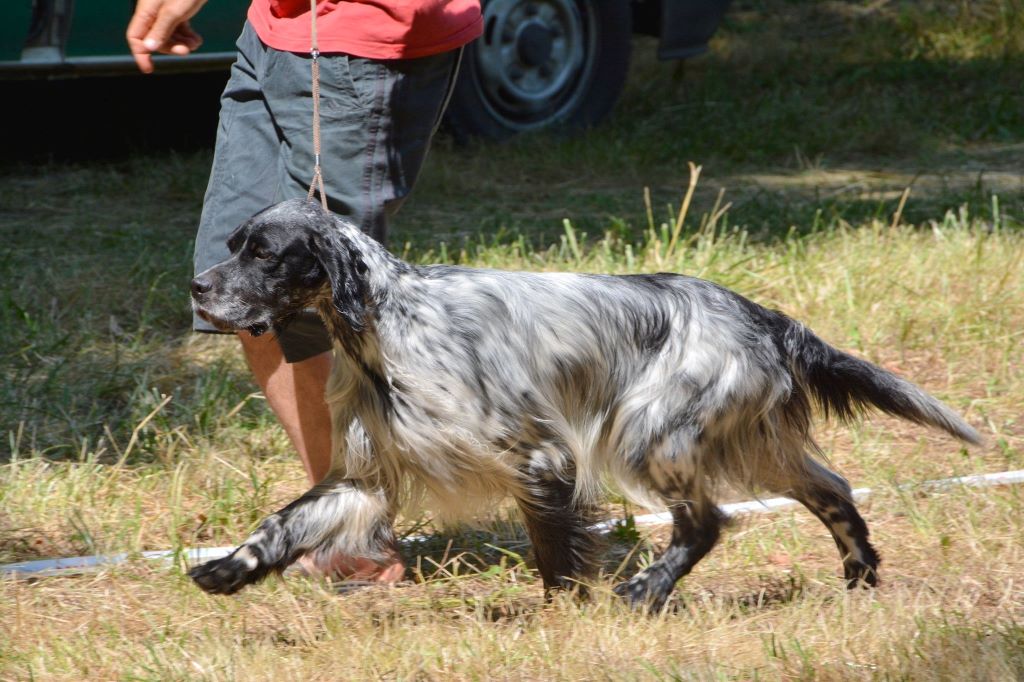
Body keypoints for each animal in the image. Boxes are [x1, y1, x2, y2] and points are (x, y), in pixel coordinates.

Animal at [188, 196, 978, 606]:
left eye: (264, 253)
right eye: (233, 244)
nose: (197, 288)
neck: (385, 326)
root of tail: (761, 315)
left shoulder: (539, 457)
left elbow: (553, 546)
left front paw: (563, 610)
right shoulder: (364, 476)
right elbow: (284, 522)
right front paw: (227, 569)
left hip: (651, 433)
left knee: (704, 523)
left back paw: (648, 590)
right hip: (751, 443)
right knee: (833, 490)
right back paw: (860, 575)